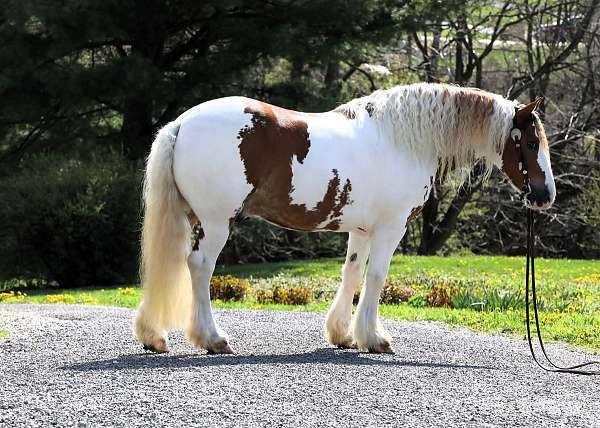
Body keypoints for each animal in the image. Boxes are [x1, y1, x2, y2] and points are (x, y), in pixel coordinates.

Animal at [134, 83, 556, 354]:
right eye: (530, 142)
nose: (546, 195)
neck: (403, 141)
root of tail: (181, 124)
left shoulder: (362, 229)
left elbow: (351, 273)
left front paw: (343, 334)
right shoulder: (390, 228)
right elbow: (377, 277)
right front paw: (374, 338)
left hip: (192, 219)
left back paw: (154, 336)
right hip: (217, 221)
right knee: (200, 266)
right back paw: (213, 338)